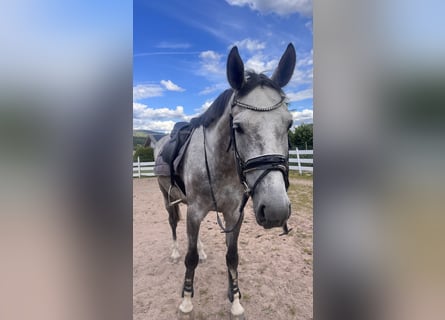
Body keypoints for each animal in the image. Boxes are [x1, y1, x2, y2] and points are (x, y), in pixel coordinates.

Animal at [154, 43, 296, 318]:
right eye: (238, 127)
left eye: (289, 124)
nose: (275, 210)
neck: (222, 164)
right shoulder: (195, 211)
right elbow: (190, 258)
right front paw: (186, 300)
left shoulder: (233, 214)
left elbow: (232, 257)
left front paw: (235, 300)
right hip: (167, 196)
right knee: (173, 223)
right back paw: (175, 251)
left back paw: (202, 250)